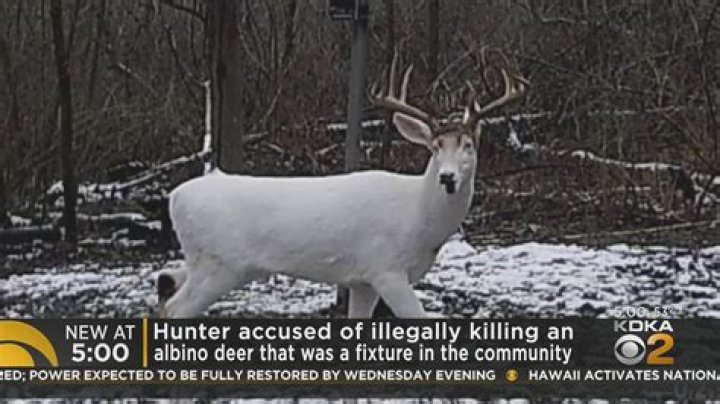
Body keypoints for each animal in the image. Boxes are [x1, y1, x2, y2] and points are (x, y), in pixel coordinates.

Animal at [158, 54, 528, 318]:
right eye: (436, 147)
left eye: (468, 145)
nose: (447, 177)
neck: (417, 217)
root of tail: (174, 197)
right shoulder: (386, 269)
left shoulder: (362, 280)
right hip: (220, 264)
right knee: (175, 309)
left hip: (203, 262)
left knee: (166, 286)